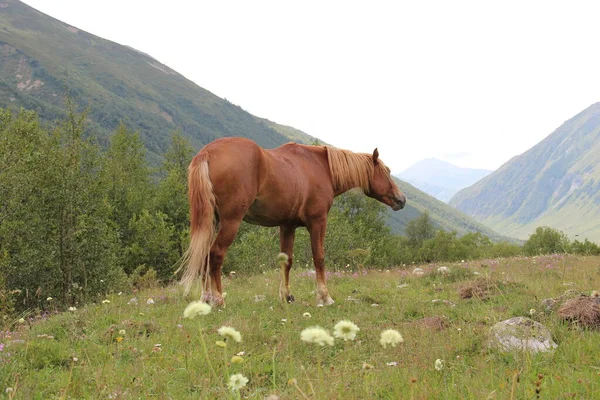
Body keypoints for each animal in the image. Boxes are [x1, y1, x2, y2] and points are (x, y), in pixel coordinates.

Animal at [176, 138, 406, 306]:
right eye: (387, 171)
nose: (401, 199)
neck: (321, 167)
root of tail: (208, 152)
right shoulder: (318, 222)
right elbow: (319, 258)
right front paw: (324, 296)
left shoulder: (287, 226)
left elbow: (287, 261)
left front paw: (286, 296)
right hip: (230, 222)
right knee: (215, 255)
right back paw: (218, 300)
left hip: (212, 222)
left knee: (204, 256)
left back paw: (206, 299)